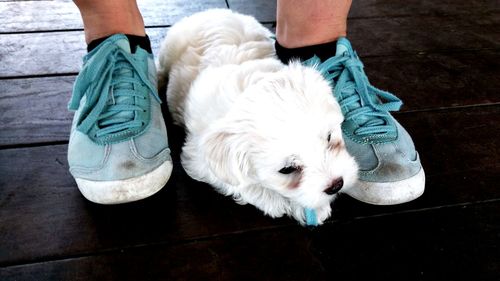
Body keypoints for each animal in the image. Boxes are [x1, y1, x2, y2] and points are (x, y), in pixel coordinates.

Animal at [158, 9, 358, 225]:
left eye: (329, 138)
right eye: (287, 169)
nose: (336, 185)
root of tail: (210, 11)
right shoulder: (199, 158)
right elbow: (241, 183)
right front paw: (287, 203)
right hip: (170, 47)